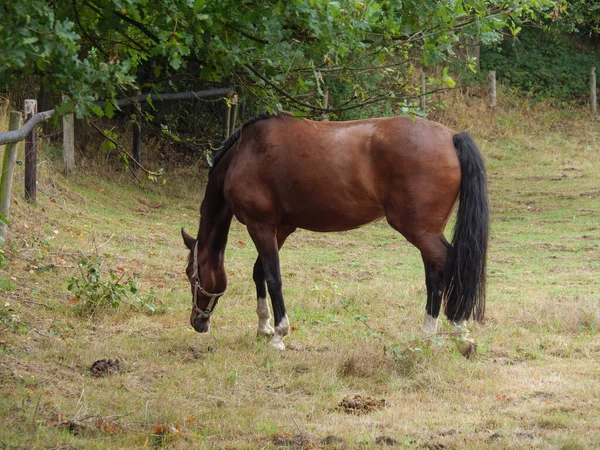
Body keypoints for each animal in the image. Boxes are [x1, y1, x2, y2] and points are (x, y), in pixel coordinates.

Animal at [182, 110, 488, 350]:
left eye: (190, 274)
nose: (197, 323)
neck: (245, 154)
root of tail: (451, 137)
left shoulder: (261, 226)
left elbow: (273, 278)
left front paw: (279, 335)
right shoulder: (280, 229)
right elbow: (260, 272)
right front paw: (264, 327)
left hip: (421, 232)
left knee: (452, 265)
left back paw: (460, 332)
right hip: (427, 232)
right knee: (434, 276)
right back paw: (427, 335)